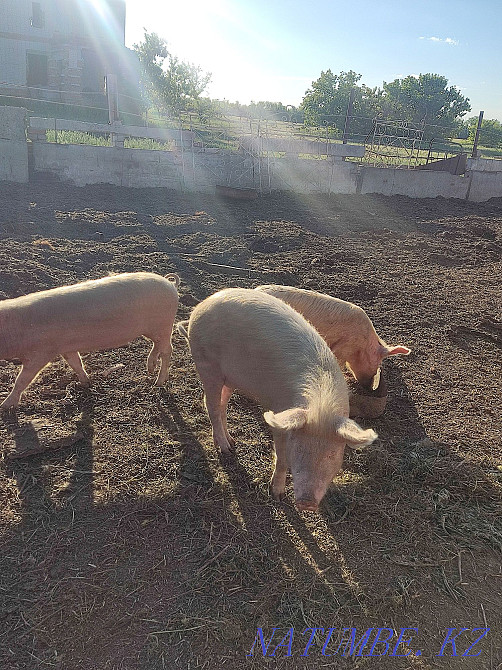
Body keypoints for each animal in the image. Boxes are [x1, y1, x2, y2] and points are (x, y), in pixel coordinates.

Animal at [0, 272, 180, 408]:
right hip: (153, 330)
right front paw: (86, 383)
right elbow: (76, 363)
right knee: (157, 346)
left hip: (164, 325)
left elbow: (22, 380)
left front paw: (5, 406)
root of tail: (170, 284)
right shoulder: (66, 348)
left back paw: (158, 382)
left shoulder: (41, 352)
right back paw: (150, 369)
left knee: (168, 350)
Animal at [177, 288, 377, 512]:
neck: (321, 403)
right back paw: (226, 450)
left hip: (229, 378)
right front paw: (277, 496)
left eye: (331, 454)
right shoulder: (282, 416)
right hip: (207, 365)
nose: (307, 503)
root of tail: (197, 310)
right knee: (210, 405)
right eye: (298, 448)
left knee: (221, 405)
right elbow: (281, 458)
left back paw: (232, 442)